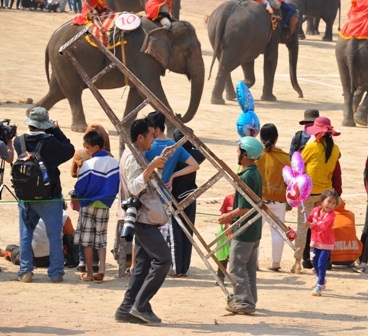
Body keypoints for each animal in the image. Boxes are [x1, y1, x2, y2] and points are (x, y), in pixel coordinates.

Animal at [32, 17, 204, 133]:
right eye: (188, 51)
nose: (179, 115)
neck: (163, 27)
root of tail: (51, 38)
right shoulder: (141, 55)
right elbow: (151, 90)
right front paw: (178, 131)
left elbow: (139, 92)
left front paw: (128, 128)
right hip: (63, 58)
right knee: (72, 91)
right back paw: (80, 128)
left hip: (60, 61)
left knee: (58, 92)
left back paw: (32, 113)